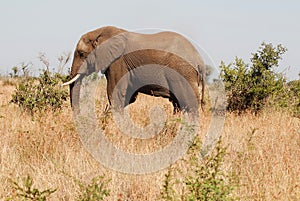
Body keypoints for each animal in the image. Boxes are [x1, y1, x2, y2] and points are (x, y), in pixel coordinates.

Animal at [62, 25, 205, 112]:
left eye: (81, 53)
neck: (100, 33)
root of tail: (199, 61)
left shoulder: (118, 62)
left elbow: (115, 92)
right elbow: (129, 97)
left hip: (182, 72)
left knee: (188, 104)